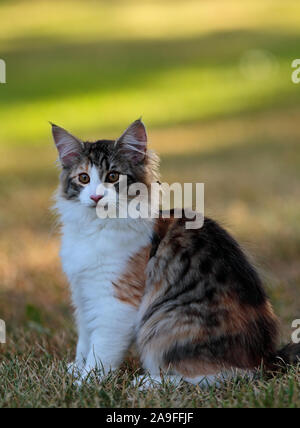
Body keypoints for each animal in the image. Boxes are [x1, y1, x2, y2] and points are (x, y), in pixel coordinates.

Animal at [52, 118, 298, 386]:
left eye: (113, 176)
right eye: (84, 178)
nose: (96, 197)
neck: (94, 228)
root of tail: (268, 357)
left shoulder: (116, 300)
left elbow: (102, 350)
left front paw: (85, 382)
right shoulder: (82, 293)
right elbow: (85, 339)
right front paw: (76, 369)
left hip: (167, 326)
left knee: (220, 375)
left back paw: (147, 382)